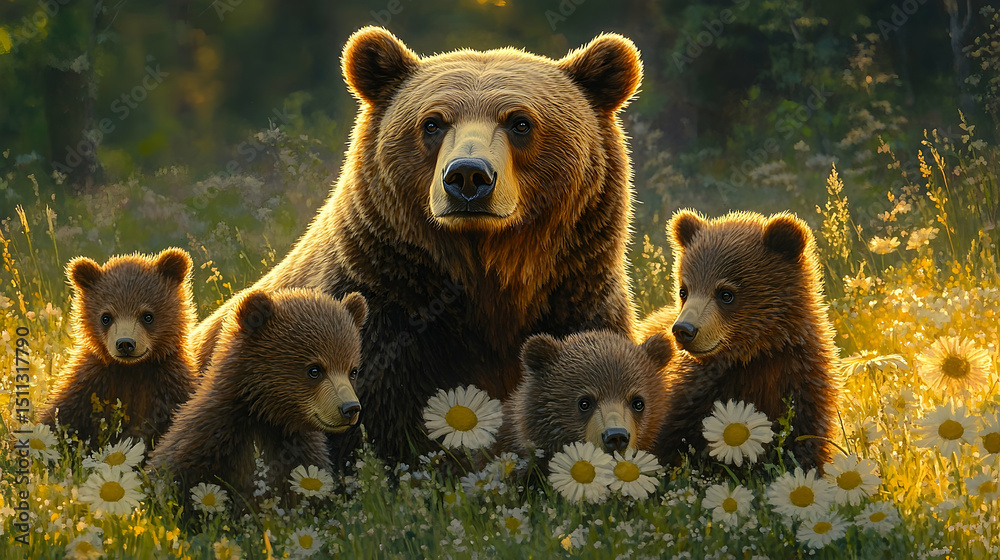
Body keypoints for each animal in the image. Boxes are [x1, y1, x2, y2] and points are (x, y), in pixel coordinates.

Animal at [38, 248, 197, 450]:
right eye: (106, 317)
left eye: (147, 316)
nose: (125, 343)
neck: (131, 370)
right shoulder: (91, 383)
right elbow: (59, 416)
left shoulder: (168, 385)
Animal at [148, 288, 367, 506]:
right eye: (314, 370)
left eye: (353, 371)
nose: (350, 408)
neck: (265, 417)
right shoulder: (207, 443)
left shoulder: (297, 451)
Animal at [188, 26, 644, 465]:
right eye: (433, 123)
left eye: (520, 122)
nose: (467, 176)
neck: (485, 280)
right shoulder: (382, 326)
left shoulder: (576, 306)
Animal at [648, 210, 839, 471]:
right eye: (684, 290)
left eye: (726, 294)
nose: (684, 330)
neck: (754, 355)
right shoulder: (690, 393)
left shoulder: (801, 382)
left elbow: (805, 443)